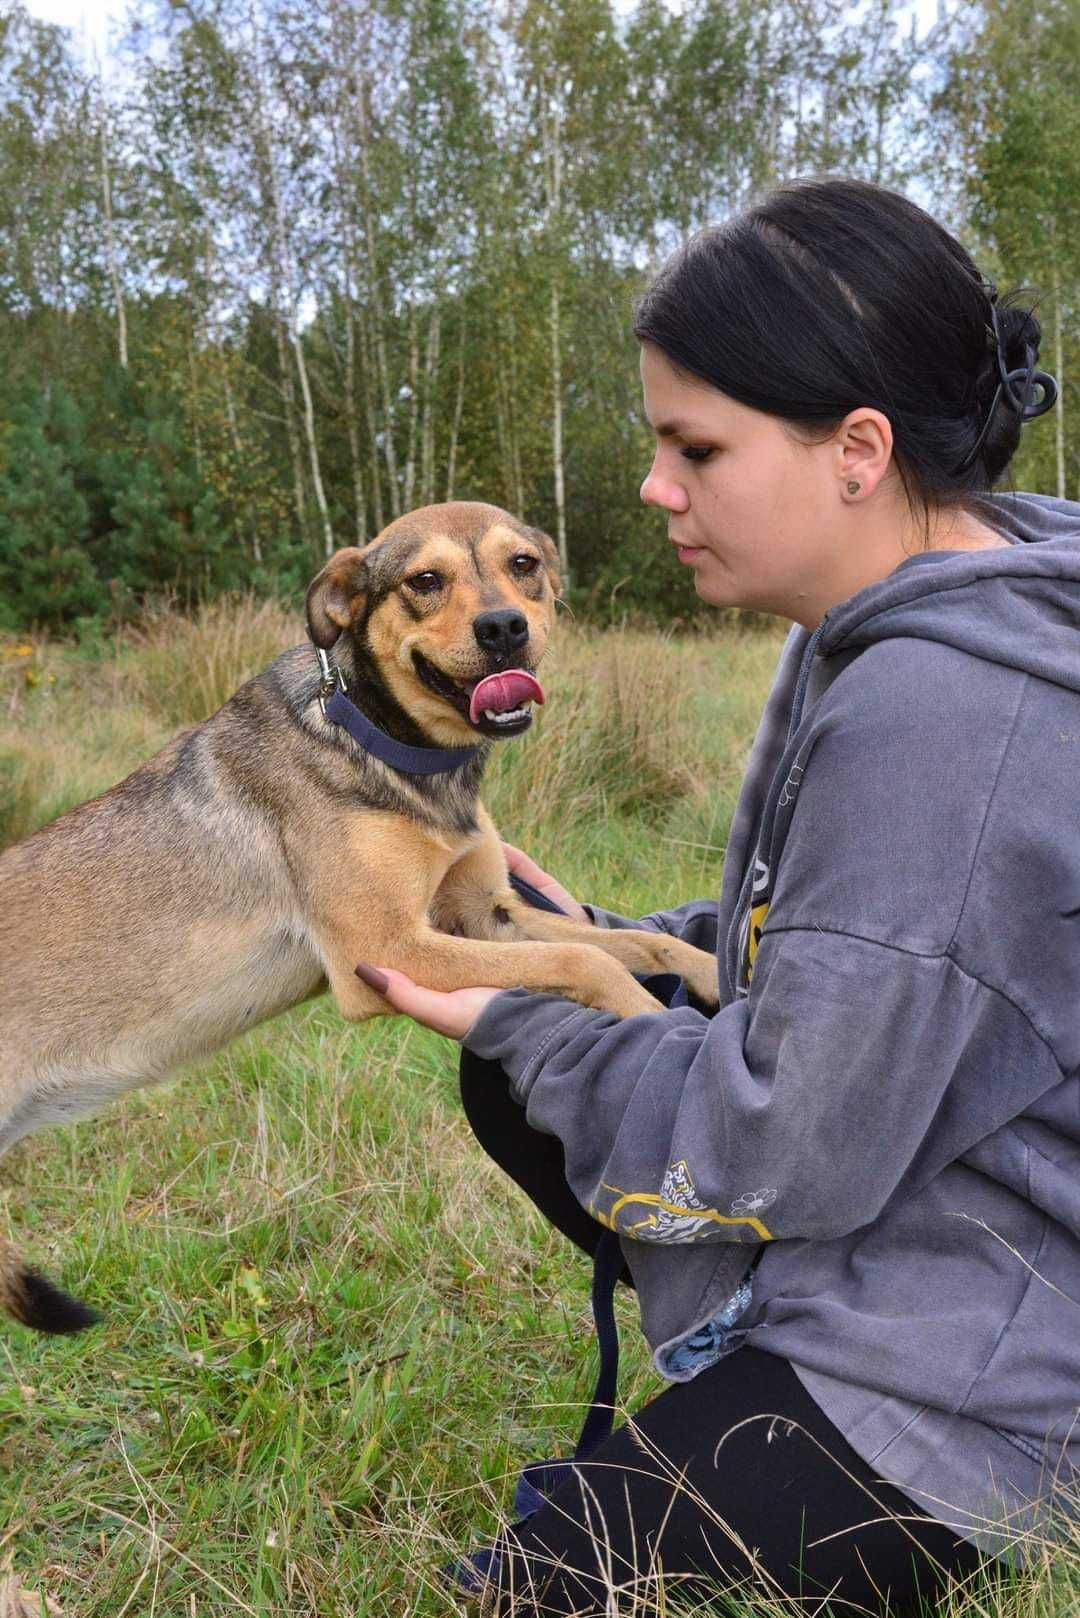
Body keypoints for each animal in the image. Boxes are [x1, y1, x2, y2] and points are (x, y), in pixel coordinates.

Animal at [0, 498, 718, 1333]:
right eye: (426, 581)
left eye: (524, 564)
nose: (504, 627)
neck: (392, 750)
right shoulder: (390, 945)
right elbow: (588, 959)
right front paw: (656, 1026)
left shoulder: (486, 914)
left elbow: (636, 942)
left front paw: (714, 976)